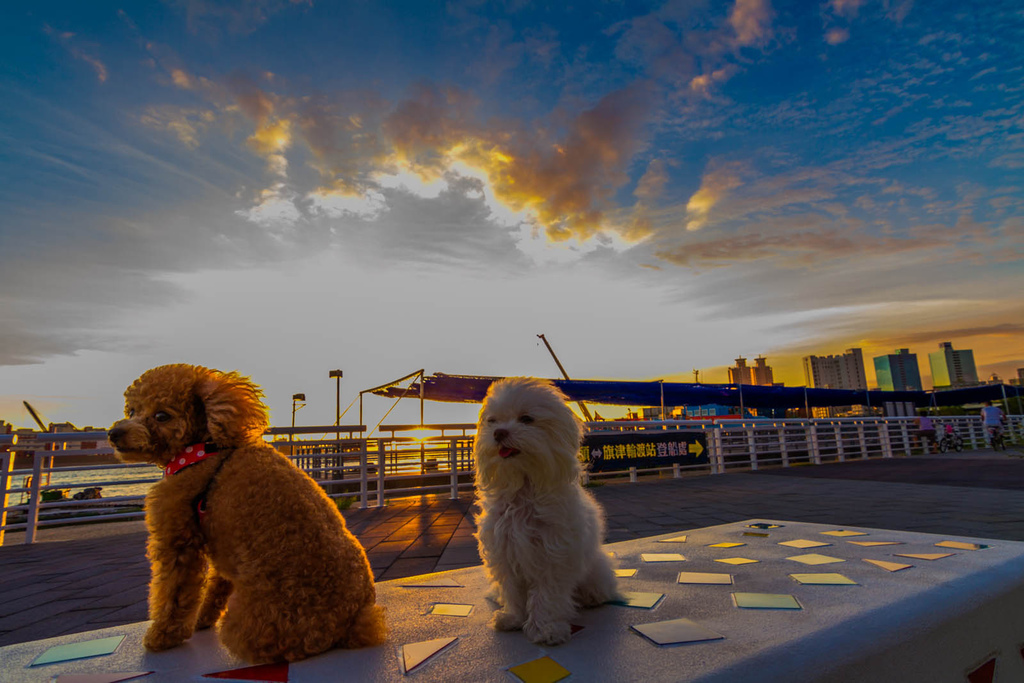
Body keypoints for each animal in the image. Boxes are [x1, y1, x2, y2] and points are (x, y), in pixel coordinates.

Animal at [473, 376, 622, 643]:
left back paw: (593, 596)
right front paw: (513, 617)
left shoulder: (553, 553)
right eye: (492, 421)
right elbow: (512, 590)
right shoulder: (504, 550)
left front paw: (546, 628)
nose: (499, 433)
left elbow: (547, 595)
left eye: (526, 419)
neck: (523, 490)